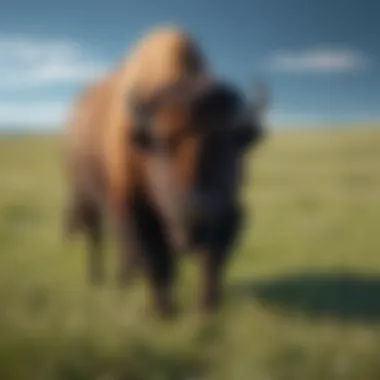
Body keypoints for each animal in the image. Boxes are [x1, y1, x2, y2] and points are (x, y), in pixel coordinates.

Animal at [63, 26, 268, 318]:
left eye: (234, 141)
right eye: (162, 143)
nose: (197, 214)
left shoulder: (224, 218)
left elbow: (211, 261)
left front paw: (207, 309)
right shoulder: (134, 209)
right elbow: (156, 260)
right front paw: (164, 313)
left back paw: (125, 280)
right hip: (84, 197)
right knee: (96, 238)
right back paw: (97, 279)